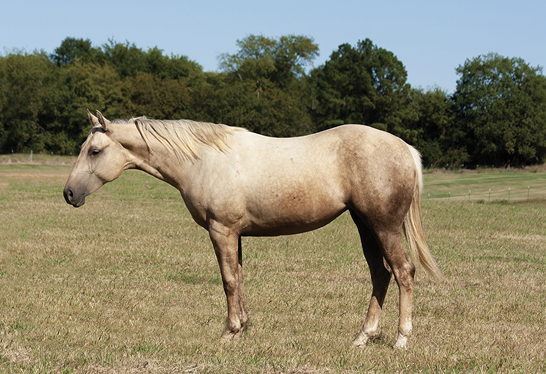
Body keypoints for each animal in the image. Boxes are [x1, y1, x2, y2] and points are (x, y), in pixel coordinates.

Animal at [63, 109, 440, 350]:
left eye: (94, 151)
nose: (69, 193)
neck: (203, 160)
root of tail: (404, 147)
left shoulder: (222, 230)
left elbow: (228, 280)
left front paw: (229, 333)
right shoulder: (235, 235)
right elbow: (239, 278)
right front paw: (242, 328)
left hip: (384, 226)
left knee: (403, 271)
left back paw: (401, 339)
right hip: (365, 226)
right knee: (380, 274)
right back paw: (363, 336)